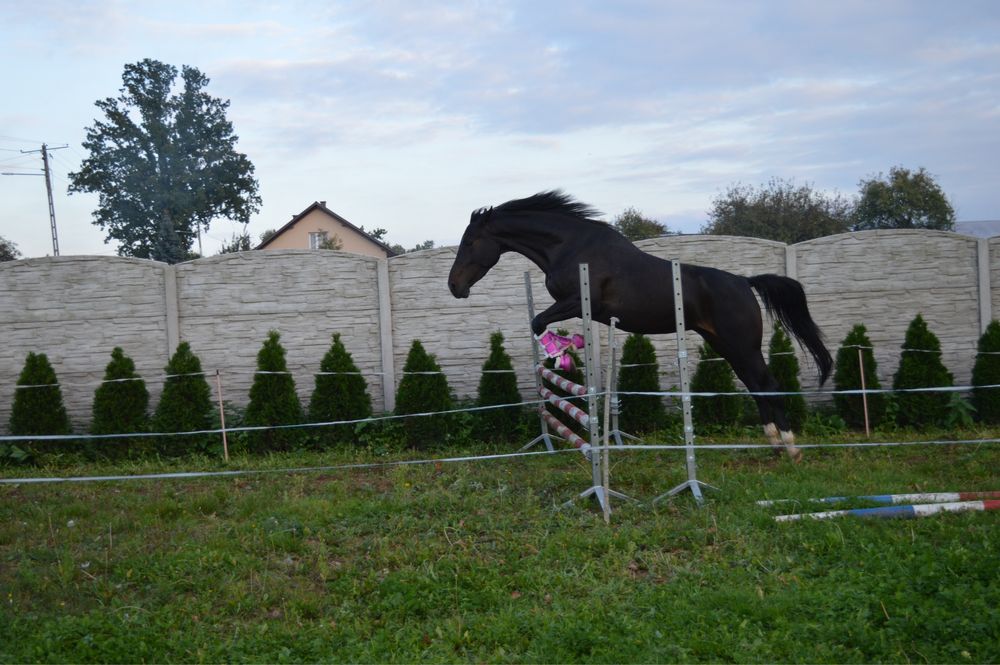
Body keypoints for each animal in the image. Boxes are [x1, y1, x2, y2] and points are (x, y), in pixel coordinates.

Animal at [450, 189, 832, 460]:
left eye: (470, 241)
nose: (455, 286)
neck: (570, 246)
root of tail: (744, 281)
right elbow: (539, 322)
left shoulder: (577, 302)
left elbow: (538, 321)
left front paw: (561, 352)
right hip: (728, 346)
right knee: (756, 386)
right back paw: (774, 444)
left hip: (742, 345)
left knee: (769, 385)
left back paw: (790, 447)